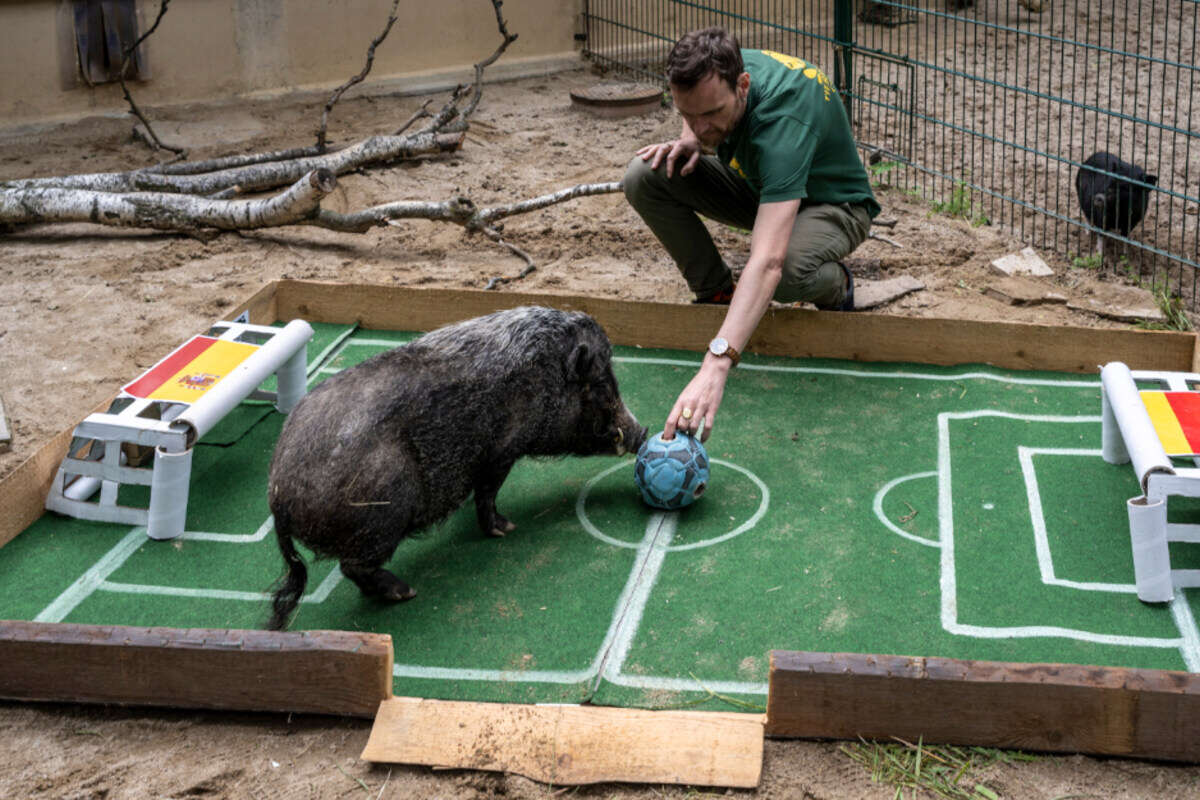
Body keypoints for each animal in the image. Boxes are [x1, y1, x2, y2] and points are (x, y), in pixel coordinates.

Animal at [268, 307, 652, 633]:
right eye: (600, 385)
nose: (643, 432)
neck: (545, 378)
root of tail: (278, 496)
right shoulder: (501, 451)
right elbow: (488, 492)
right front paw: (506, 529)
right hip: (381, 515)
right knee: (353, 565)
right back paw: (405, 592)